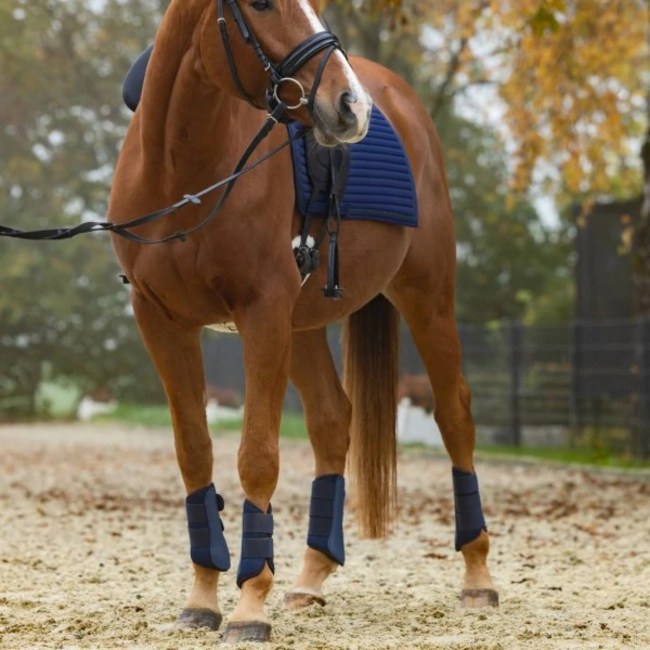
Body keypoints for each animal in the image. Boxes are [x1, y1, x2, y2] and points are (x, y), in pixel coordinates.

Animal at [108, 0, 497, 643]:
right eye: (261, 4)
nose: (351, 106)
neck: (186, 176)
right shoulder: (161, 321)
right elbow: (195, 454)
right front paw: (203, 599)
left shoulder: (262, 315)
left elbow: (257, 457)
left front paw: (248, 607)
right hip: (306, 327)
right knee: (333, 421)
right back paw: (311, 578)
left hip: (427, 300)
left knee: (456, 416)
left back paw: (478, 577)